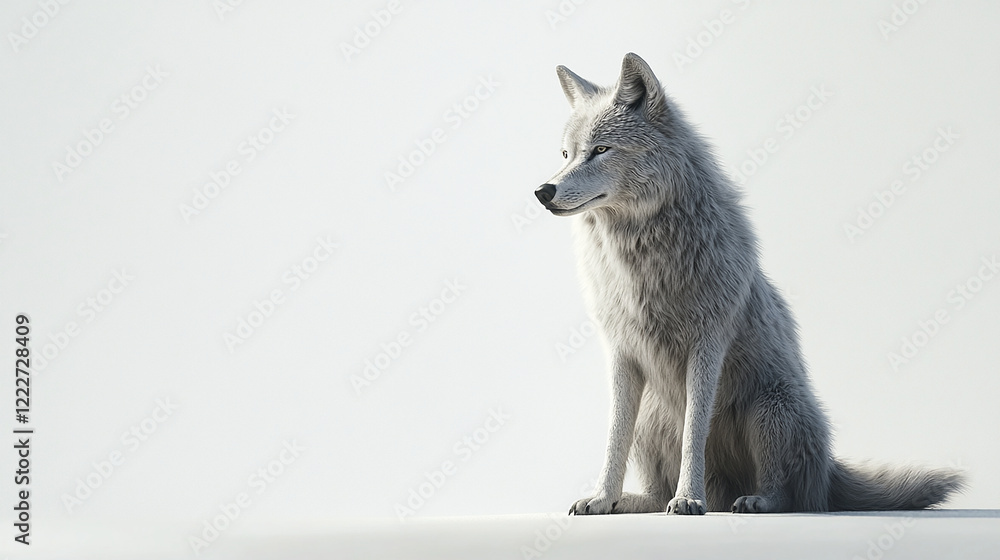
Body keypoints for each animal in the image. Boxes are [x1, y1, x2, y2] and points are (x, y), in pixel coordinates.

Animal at [535, 53, 965, 514]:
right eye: (566, 154)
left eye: (601, 150)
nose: (544, 190)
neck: (642, 257)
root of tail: (829, 470)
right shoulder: (621, 352)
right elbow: (614, 437)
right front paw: (602, 499)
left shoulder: (707, 344)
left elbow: (694, 434)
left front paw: (689, 499)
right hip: (653, 418)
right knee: (655, 493)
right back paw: (635, 501)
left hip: (769, 408)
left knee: (786, 495)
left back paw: (752, 500)